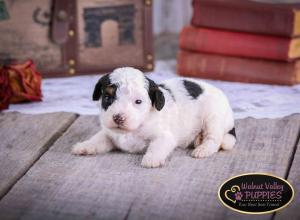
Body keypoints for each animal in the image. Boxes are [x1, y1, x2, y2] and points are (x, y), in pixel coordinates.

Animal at [71, 67, 236, 168]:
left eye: (138, 101)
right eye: (107, 97)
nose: (118, 118)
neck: (135, 128)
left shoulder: (165, 136)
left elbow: (158, 145)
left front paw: (151, 159)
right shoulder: (110, 133)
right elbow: (98, 139)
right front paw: (84, 146)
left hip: (213, 117)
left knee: (214, 138)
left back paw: (203, 148)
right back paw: (198, 139)